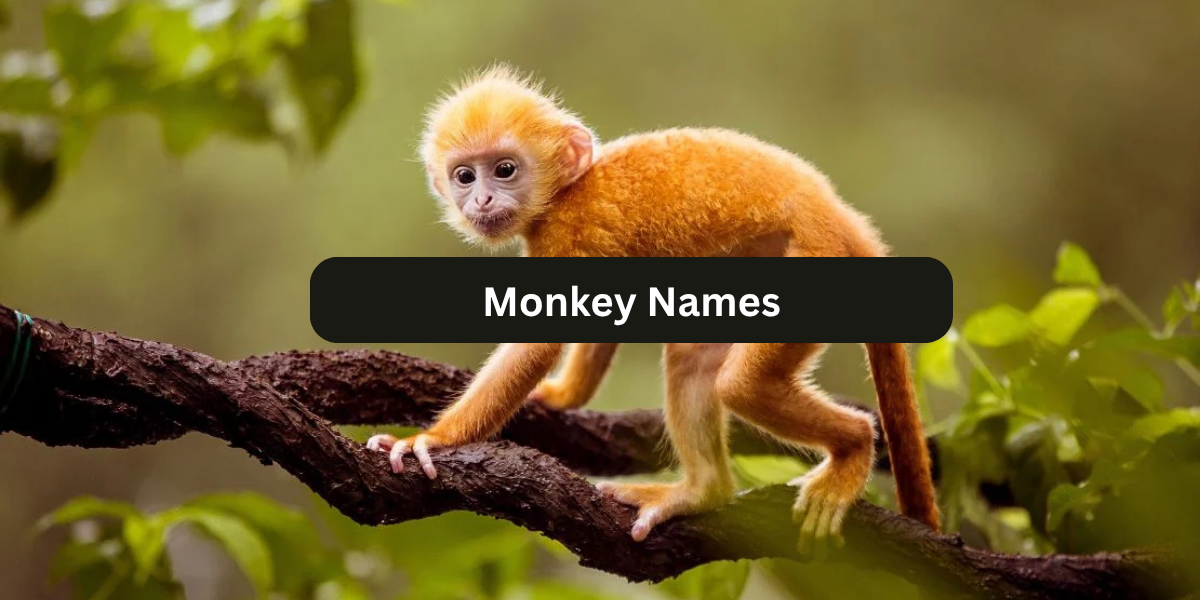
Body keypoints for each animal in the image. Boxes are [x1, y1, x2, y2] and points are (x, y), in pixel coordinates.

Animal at [366, 66, 939, 554]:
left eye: (504, 170)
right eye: (465, 176)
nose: (480, 200)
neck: (565, 191)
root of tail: (839, 217)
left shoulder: (570, 231)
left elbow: (541, 340)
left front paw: (432, 440)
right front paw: (559, 396)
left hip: (818, 259)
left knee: (742, 385)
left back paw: (853, 448)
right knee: (694, 357)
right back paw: (704, 491)